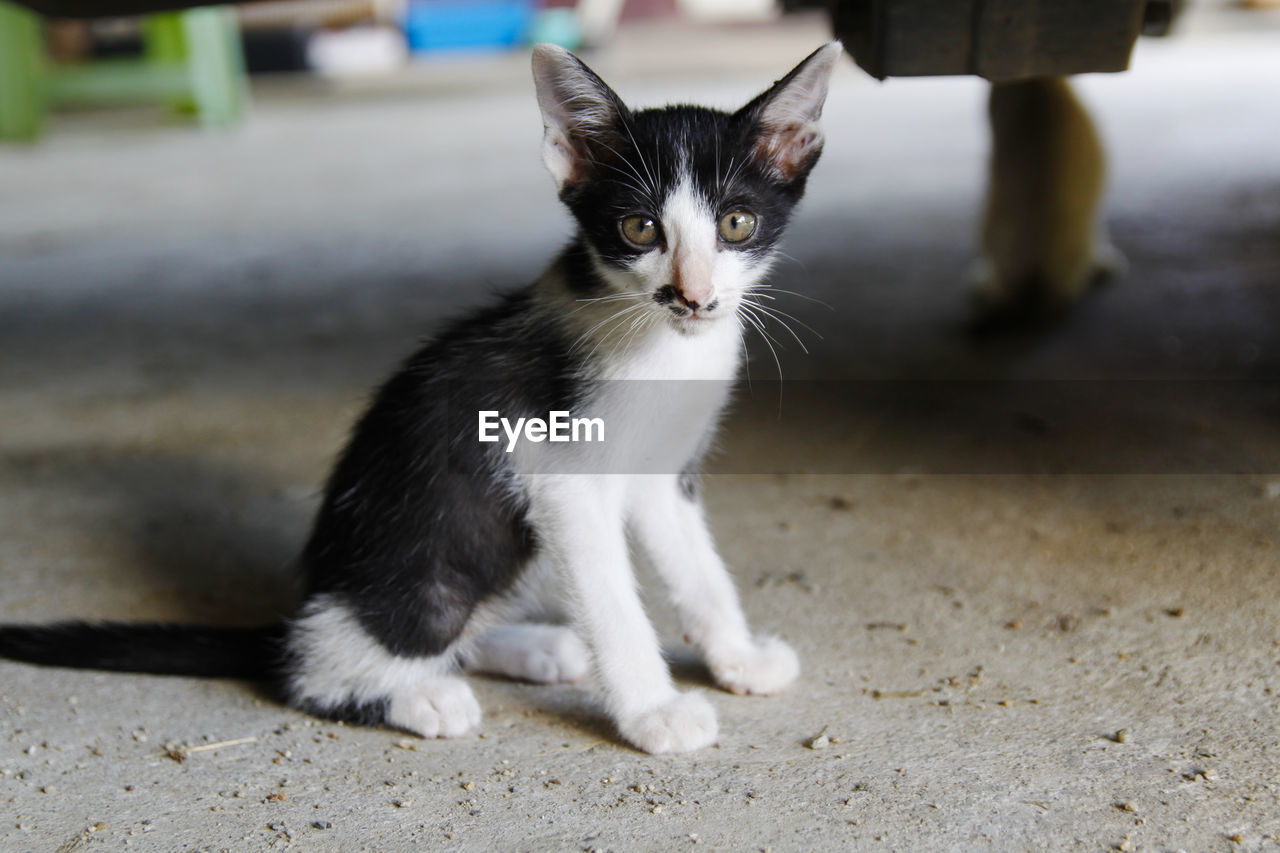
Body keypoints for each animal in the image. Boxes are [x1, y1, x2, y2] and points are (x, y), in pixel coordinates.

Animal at [0, 44, 839, 753]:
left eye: (737, 222)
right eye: (638, 229)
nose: (694, 297)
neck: (660, 344)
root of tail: (299, 615)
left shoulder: (662, 473)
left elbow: (700, 571)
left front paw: (738, 657)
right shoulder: (558, 469)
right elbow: (613, 601)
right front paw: (654, 711)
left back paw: (532, 646)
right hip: (424, 582)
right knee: (319, 668)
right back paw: (418, 694)